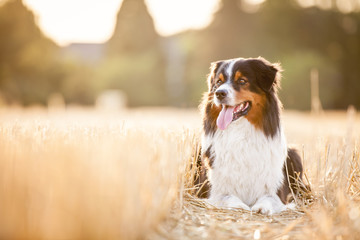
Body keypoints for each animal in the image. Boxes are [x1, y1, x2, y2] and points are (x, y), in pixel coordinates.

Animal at [197, 57, 304, 215]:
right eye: (218, 82)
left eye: (242, 81)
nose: (219, 93)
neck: (240, 134)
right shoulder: (212, 190)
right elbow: (228, 197)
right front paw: (240, 206)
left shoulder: (277, 191)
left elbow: (268, 198)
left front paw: (261, 207)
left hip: (294, 154)